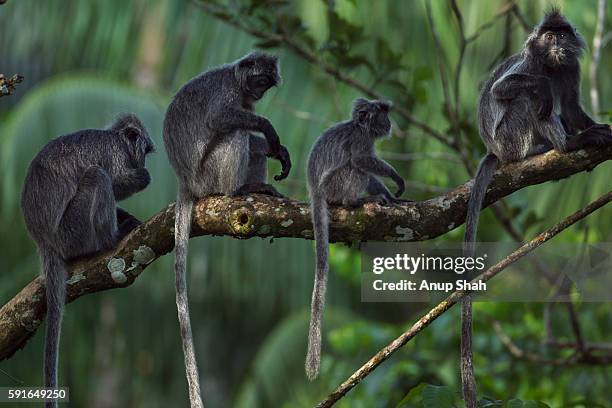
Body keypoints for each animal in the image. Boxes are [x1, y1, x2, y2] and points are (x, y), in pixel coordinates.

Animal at [20, 115, 154, 408]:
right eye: (145, 151)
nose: (145, 162)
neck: (114, 137)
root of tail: (44, 242)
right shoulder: (114, 152)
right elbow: (117, 181)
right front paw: (142, 177)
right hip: (73, 232)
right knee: (97, 176)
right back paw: (110, 239)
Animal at [164, 51, 292, 408]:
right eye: (259, 80)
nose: (260, 93)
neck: (237, 80)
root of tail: (186, 181)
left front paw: (277, 150)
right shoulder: (229, 93)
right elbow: (220, 119)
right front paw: (268, 129)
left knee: (248, 141)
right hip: (209, 176)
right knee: (236, 133)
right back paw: (238, 190)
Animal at [306, 97, 412, 380]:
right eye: (383, 114)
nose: (390, 123)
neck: (359, 127)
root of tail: (315, 190)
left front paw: (393, 197)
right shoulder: (360, 141)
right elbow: (363, 159)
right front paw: (395, 178)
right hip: (336, 184)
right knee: (355, 167)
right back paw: (355, 201)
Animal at [462, 7, 608, 406]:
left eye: (563, 35)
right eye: (549, 36)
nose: (557, 42)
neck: (552, 66)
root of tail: (494, 150)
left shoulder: (571, 69)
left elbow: (571, 107)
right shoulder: (529, 63)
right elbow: (508, 89)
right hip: (512, 139)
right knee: (529, 101)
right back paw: (567, 145)